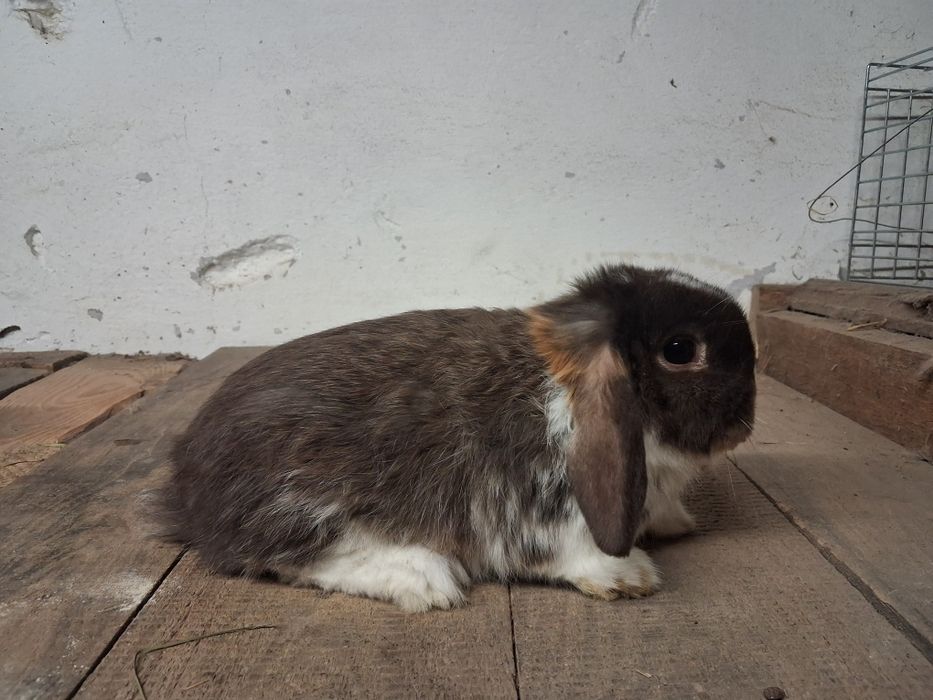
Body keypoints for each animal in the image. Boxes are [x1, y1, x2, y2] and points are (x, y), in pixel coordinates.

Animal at [161, 264, 756, 612]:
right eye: (680, 350)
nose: (743, 426)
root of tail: (185, 495)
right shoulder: (543, 506)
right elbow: (571, 551)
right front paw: (627, 575)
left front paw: (675, 522)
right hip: (304, 496)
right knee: (287, 557)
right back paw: (420, 577)